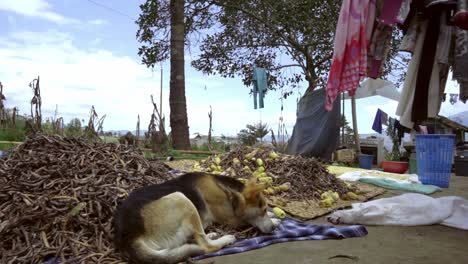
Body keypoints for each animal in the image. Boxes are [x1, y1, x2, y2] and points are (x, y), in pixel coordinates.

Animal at [115, 172, 280, 262]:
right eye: (262, 210)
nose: (272, 228)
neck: (228, 192)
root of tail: (128, 237)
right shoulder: (231, 219)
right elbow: (247, 221)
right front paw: (276, 219)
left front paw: (274, 216)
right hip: (181, 198)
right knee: (206, 246)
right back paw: (225, 238)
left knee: (197, 237)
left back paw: (212, 234)